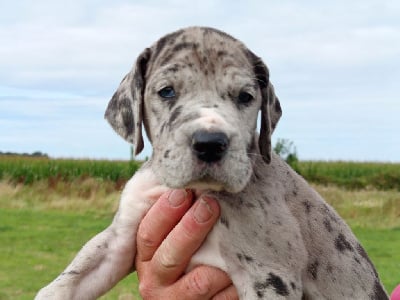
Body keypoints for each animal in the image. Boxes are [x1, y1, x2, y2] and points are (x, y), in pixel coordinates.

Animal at [36, 26, 388, 300]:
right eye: (166, 91)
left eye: (245, 97)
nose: (210, 144)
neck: (197, 190)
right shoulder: (120, 241)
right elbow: (68, 280)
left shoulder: (270, 277)